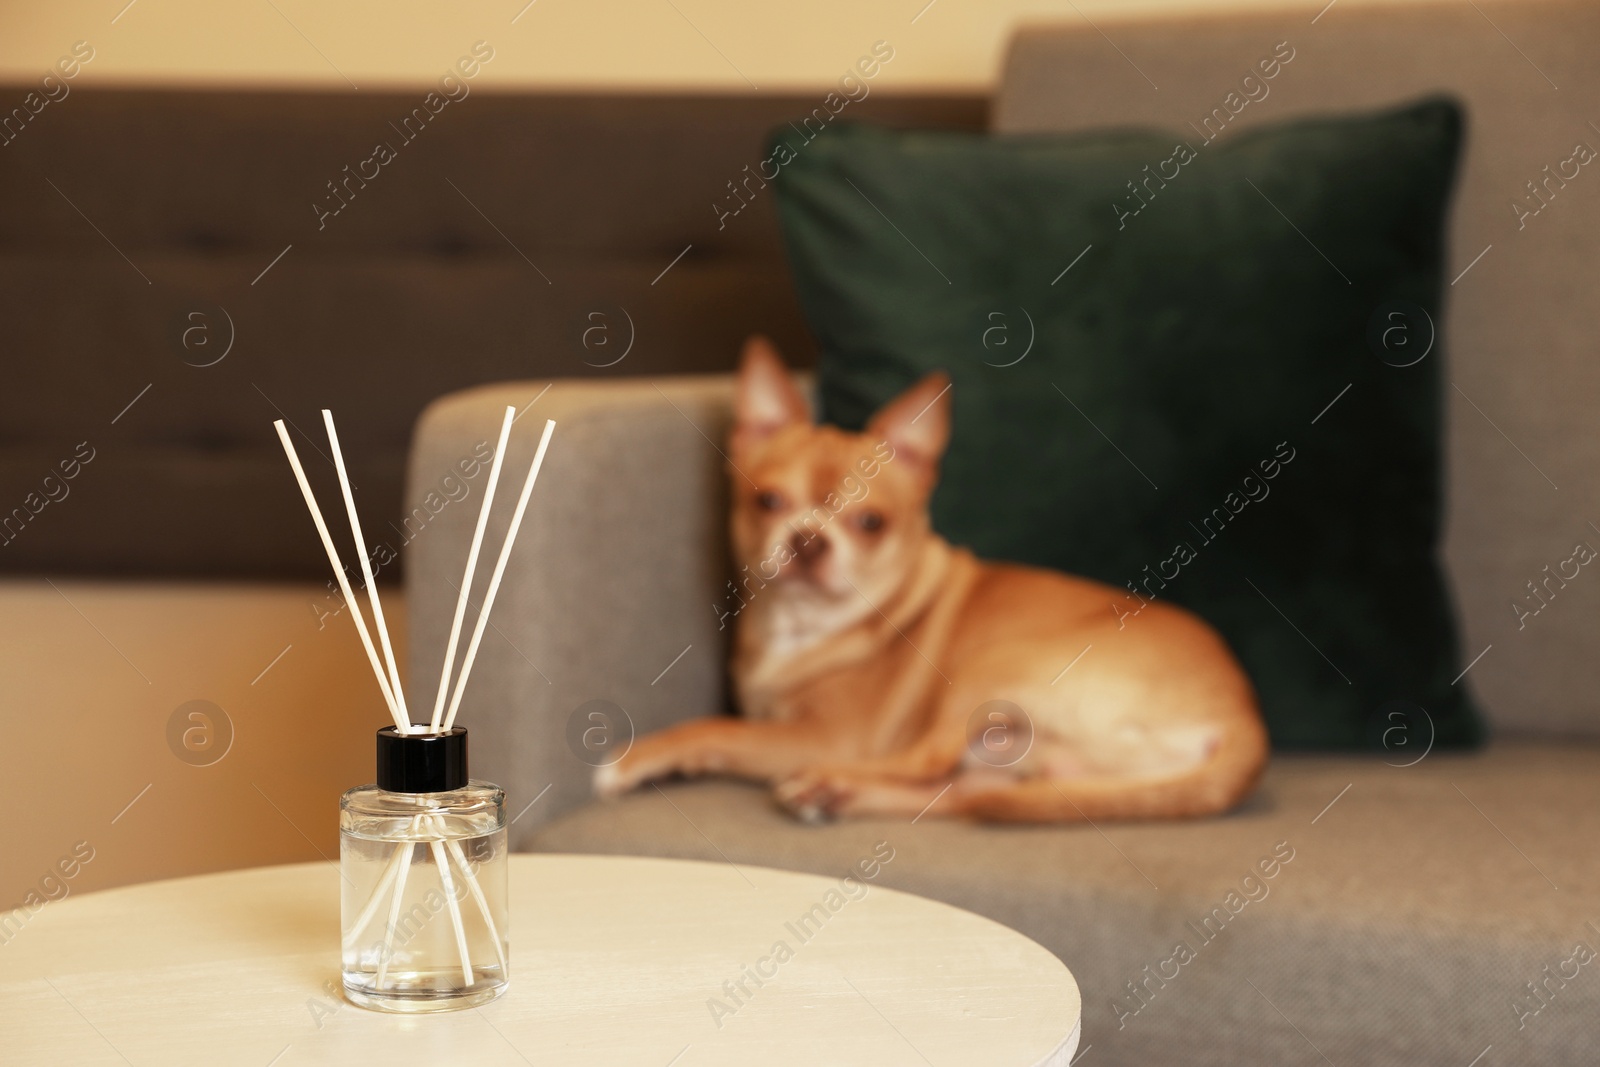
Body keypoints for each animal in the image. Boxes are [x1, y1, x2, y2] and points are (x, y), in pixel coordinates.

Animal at [595, 337, 1267, 825]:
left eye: (870, 522)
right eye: (768, 501)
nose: (808, 539)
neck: (803, 627)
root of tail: (1246, 722)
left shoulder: (828, 733)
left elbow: (712, 726)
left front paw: (636, 759)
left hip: (988, 670)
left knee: (925, 760)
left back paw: (827, 780)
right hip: (1013, 759)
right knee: (958, 791)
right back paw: (832, 793)